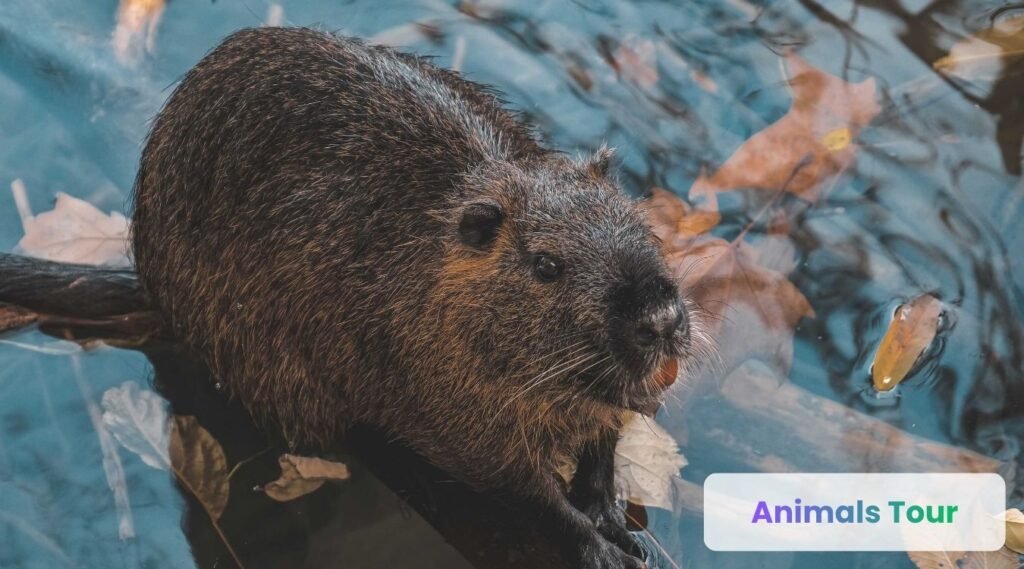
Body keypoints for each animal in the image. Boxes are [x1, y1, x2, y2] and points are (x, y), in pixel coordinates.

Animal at [126, 27, 700, 569]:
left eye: (630, 216)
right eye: (547, 265)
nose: (660, 318)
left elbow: (605, 439)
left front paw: (609, 512)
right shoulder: (450, 407)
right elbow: (524, 489)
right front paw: (603, 548)